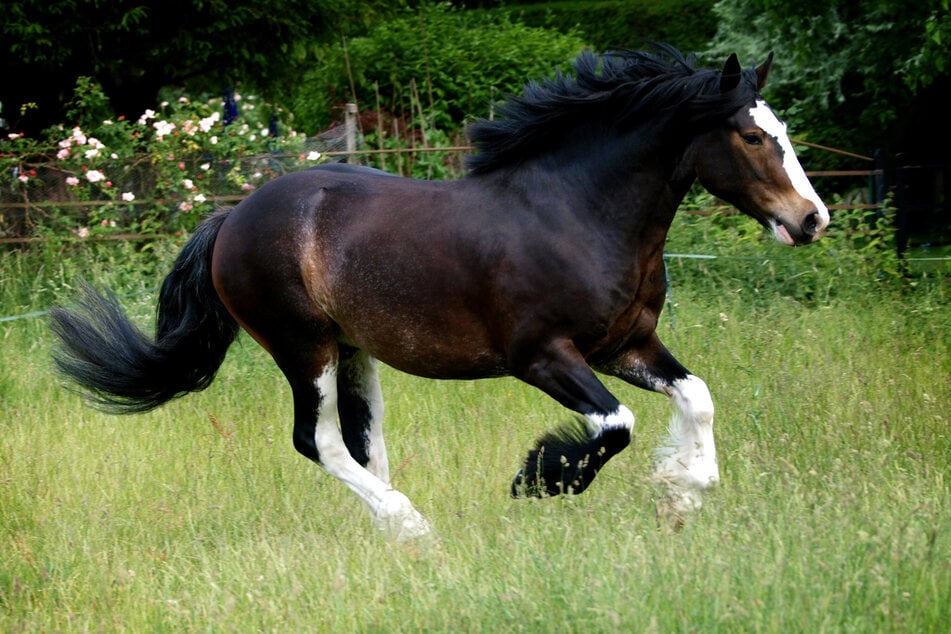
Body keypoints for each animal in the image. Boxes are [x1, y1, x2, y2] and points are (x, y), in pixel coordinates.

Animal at [50, 45, 824, 540]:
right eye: (752, 136)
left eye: (781, 131)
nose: (810, 219)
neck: (577, 213)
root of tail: (230, 218)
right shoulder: (543, 356)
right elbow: (615, 426)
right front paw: (540, 479)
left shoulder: (626, 345)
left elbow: (697, 397)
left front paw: (679, 498)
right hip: (303, 347)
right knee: (316, 440)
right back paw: (411, 525)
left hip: (353, 349)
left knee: (361, 443)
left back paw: (394, 526)